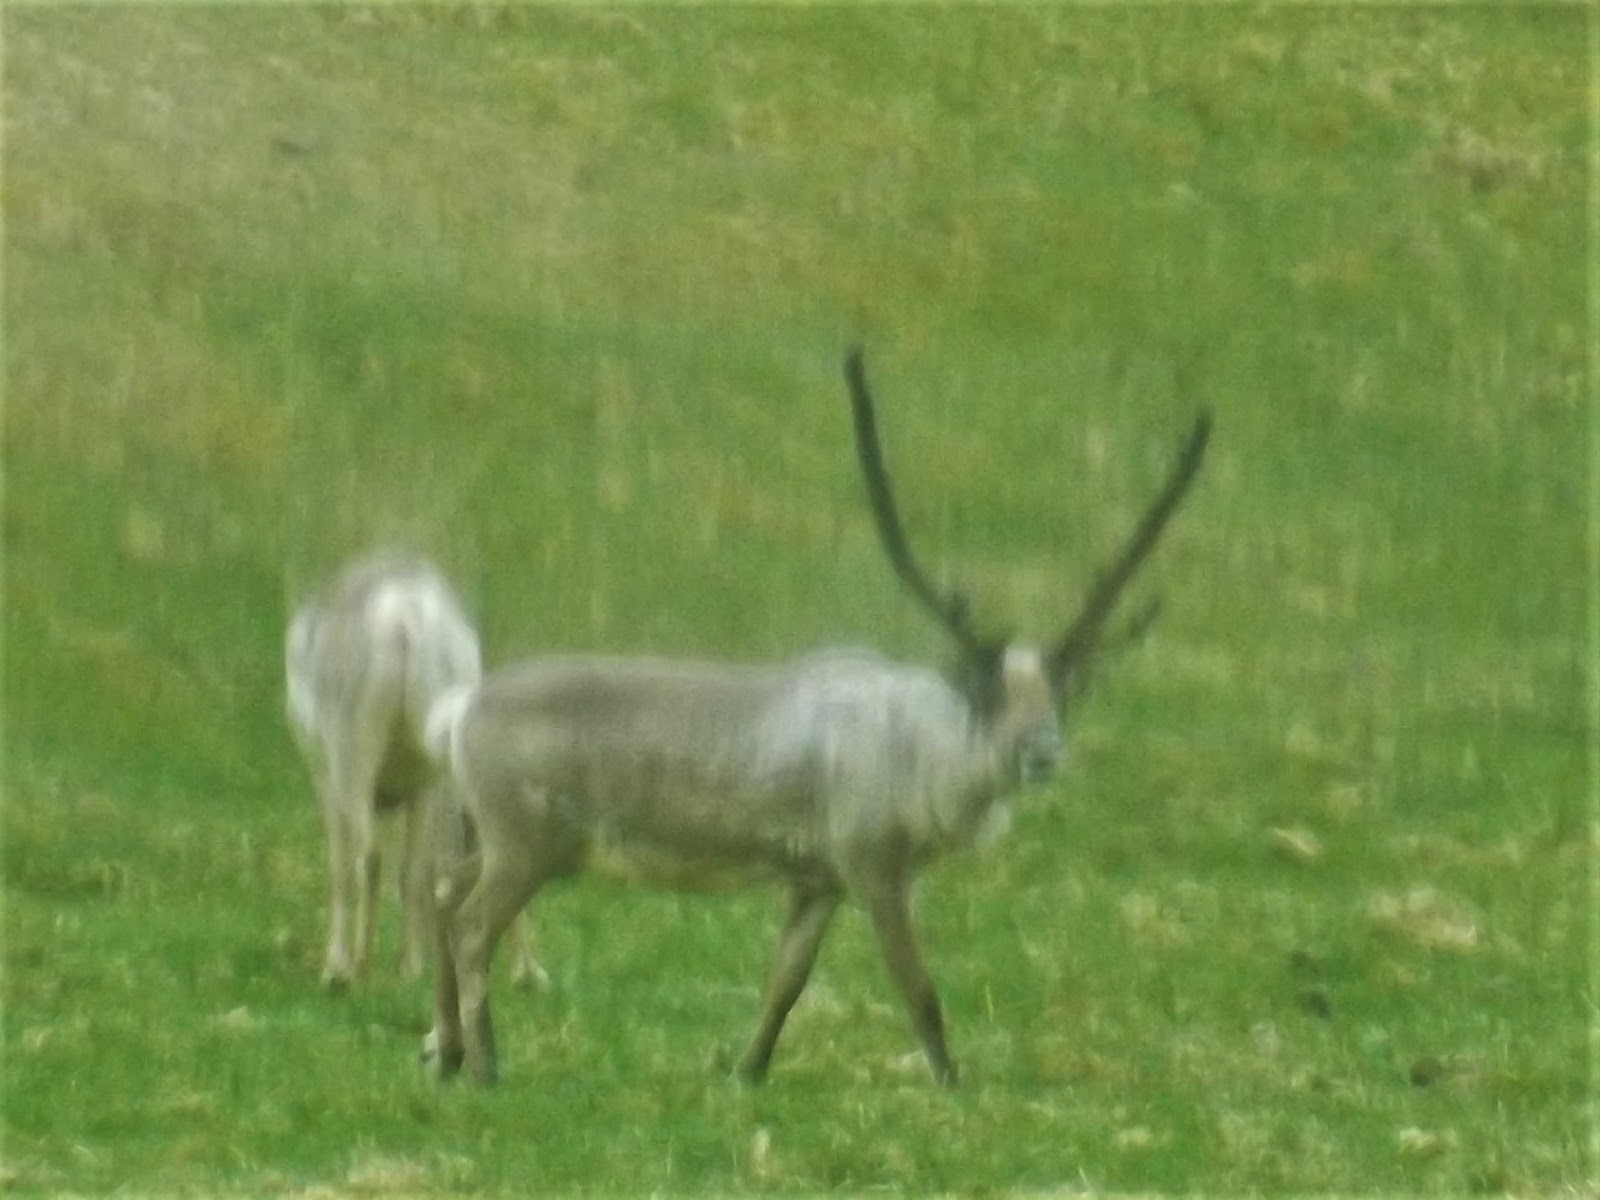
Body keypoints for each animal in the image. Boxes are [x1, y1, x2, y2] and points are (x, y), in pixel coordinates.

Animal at [286, 552, 544, 992]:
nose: (527, 977)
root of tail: (402, 619)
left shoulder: (328, 786)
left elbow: (339, 870)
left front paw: (333, 967)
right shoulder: (415, 791)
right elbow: (416, 875)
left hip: (354, 761)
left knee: (368, 858)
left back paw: (355, 969)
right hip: (428, 773)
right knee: (415, 871)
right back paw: (409, 969)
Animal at [421, 348, 1210, 1085]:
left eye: (1066, 690)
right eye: (986, 691)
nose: (1041, 751)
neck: (919, 751)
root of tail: (458, 711)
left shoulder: (815, 880)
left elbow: (786, 982)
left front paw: (747, 1070)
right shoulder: (871, 864)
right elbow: (918, 989)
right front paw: (952, 1084)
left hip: (505, 836)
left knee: (442, 893)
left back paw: (447, 1052)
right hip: (526, 839)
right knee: (471, 924)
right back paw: (487, 1064)